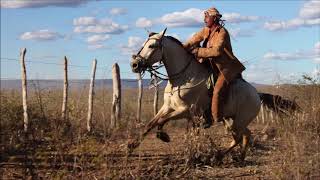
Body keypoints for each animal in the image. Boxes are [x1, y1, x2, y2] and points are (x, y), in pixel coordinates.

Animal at [129, 28, 264, 162]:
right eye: (144, 44)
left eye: (152, 46)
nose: (134, 64)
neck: (183, 78)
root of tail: (256, 94)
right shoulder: (167, 107)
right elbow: (151, 123)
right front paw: (132, 145)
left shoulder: (186, 111)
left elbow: (162, 120)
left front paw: (163, 135)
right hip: (231, 120)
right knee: (246, 135)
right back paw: (239, 156)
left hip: (239, 121)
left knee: (239, 137)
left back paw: (219, 156)